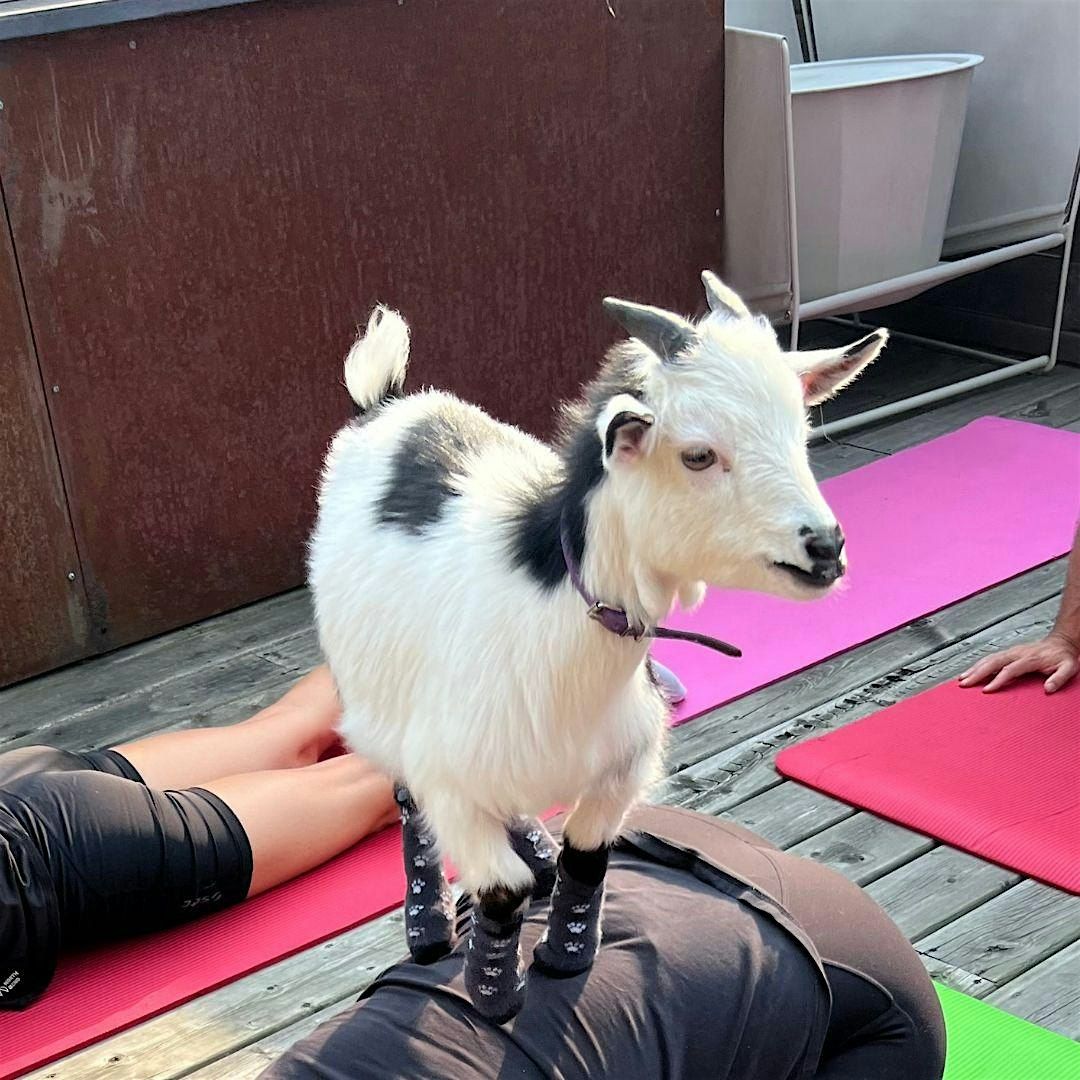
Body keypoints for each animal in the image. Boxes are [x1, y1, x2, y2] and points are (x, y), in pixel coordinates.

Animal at [308, 271, 887, 1022]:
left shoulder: (621, 764)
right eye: (698, 454)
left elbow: (585, 852)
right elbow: (499, 884)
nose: (825, 548)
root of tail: (387, 401)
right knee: (408, 804)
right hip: (371, 696)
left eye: (801, 434)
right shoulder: (450, 779)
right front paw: (495, 994)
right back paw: (427, 926)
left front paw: (568, 952)